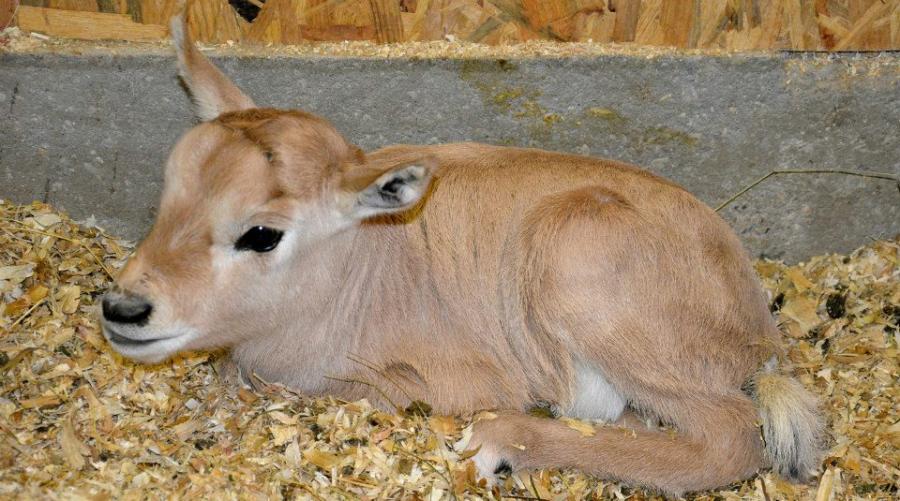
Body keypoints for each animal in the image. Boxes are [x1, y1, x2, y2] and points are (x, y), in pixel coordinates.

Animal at [98, 17, 824, 494]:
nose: (123, 307)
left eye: (261, 234)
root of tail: (756, 329)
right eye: (168, 194)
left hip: (587, 283)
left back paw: (504, 439)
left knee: (731, 436)